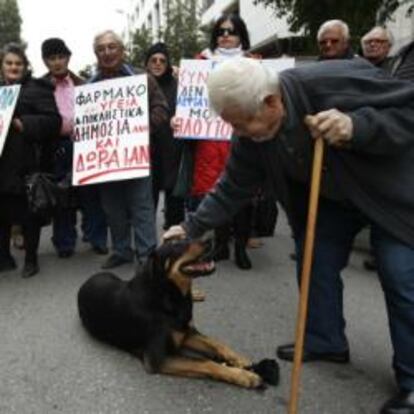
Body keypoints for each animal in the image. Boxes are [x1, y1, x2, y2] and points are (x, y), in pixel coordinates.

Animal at [77, 239, 266, 388]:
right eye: (176, 246)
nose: (209, 241)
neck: (170, 296)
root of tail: (87, 281)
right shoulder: (158, 359)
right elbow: (205, 362)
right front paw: (242, 375)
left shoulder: (187, 332)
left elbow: (216, 343)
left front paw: (239, 359)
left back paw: (197, 294)